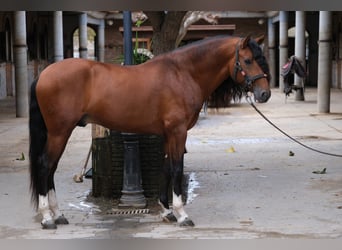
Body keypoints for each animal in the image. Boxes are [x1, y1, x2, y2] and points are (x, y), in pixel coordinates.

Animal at [28, 34, 270, 229]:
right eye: (248, 60)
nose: (264, 93)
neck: (182, 73)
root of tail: (43, 74)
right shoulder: (178, 132)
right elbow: (176, 168)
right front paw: (182, 215)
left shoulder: (168, 134)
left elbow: (166, 168)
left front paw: (166, 211)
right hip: (60, 132)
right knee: (45, 166)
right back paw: (47, 218)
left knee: (51, 169)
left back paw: (58, 215)